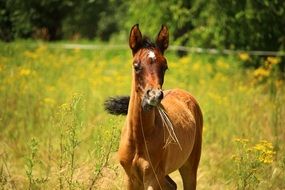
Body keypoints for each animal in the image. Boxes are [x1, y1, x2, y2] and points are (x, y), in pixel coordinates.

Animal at [104, 24, 202, 190]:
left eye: (165, 67)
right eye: (136, 66)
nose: (154, 95)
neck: (138, 138)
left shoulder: (152, 178)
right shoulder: (131, 179)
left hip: (189, 167)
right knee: (172, 185)